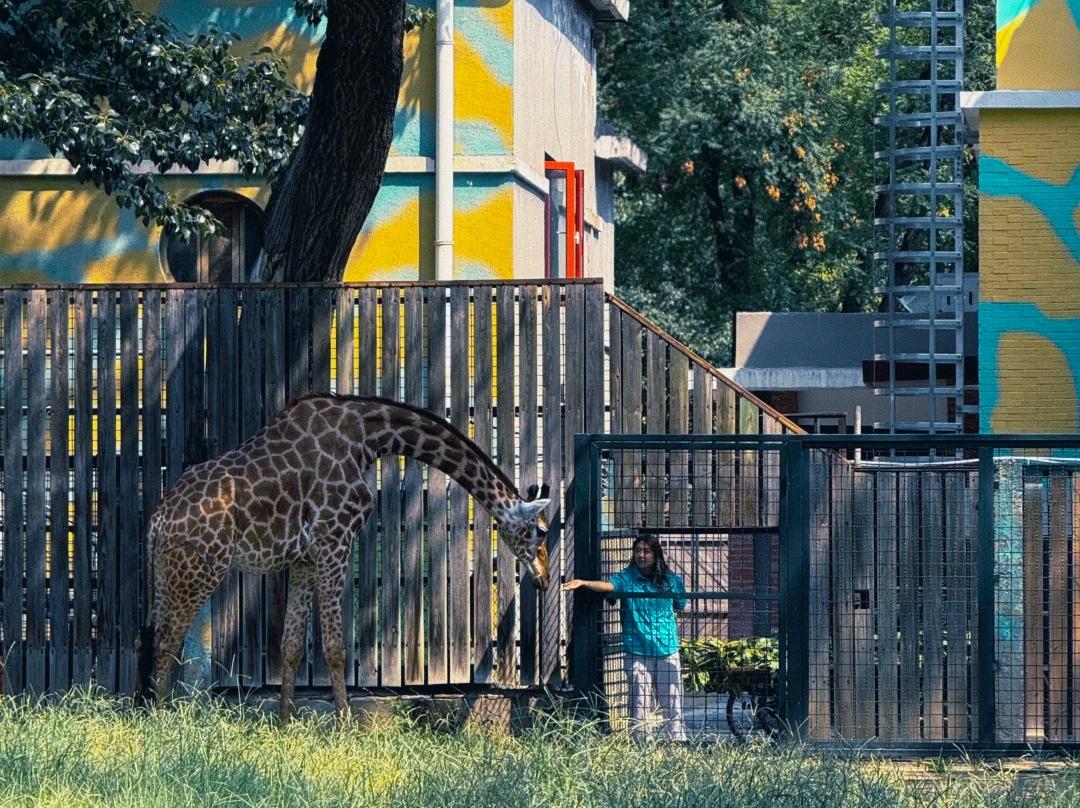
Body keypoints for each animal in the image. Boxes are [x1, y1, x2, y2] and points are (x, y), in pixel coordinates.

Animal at [135, 393, 552, 720]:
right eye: (542, 531)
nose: (545, 579)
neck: (368, 436)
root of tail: (156, 521)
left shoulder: (304, 557)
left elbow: (290, 647)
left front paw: (285, 724)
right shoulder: (334, 539)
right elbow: (335, 647)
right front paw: (346, 726)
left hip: (169, 574)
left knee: (153, 634)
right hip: (200, 569)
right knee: (166, 639)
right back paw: (160, 718)